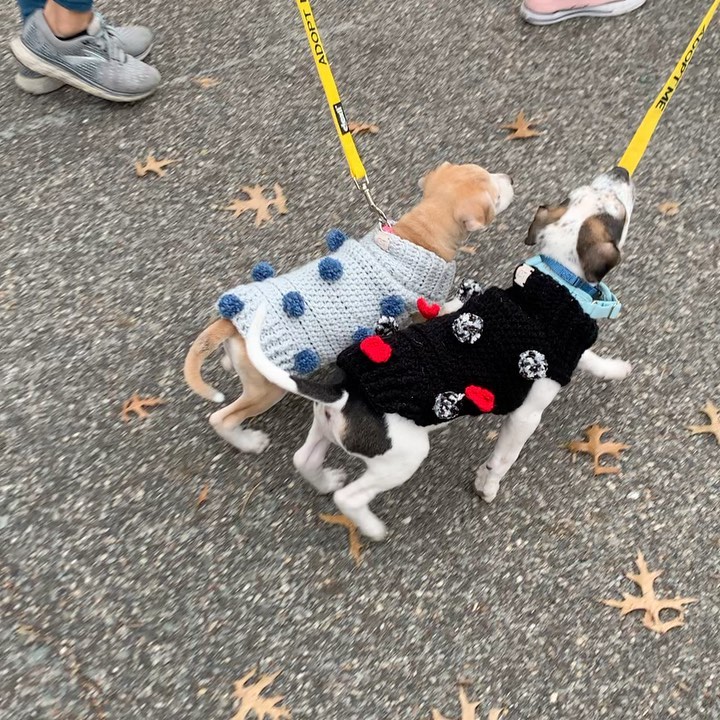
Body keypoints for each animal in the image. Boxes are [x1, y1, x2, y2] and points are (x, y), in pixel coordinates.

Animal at [184, 166, 512, 452]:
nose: (509, 178)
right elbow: (446, 308)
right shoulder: (426, 307)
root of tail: (232, 319)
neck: (419, 234)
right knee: (222, 418)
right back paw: (248, 442)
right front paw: (463, 300)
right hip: (267, 390)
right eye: (496, 194)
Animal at [248, 169, 636, 540]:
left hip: (325, 432)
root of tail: (343, 391)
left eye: (575, 195)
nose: (621, 173)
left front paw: (615, 369)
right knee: (350, 498)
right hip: (404, 457)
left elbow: (592, 359)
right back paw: (372, 528)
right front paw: (487, 486)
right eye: (616, 211)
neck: (557, 282)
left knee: (304, 460)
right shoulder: (525, 416)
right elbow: (503, 459)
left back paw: (326, 480)